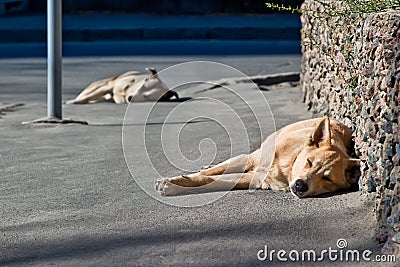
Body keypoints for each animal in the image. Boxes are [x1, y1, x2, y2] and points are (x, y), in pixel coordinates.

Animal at [155, 118, 360, 199]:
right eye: (309, 162)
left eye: (327, 178)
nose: (300, 185)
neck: (287, 167)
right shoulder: (250, 160)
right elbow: (204, 176)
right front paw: (175, 181)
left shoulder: (253, 178)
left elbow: (211, 181)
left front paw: (174, 185)